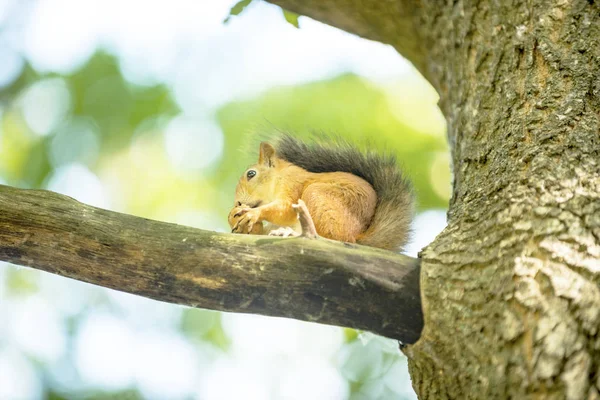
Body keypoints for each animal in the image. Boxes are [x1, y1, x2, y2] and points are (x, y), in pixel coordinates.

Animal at [227, 136, 414, 252]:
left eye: (251, 174)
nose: (238, 203)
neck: (279, 177)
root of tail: (356, 236)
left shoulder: (292, 187)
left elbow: (284, 209)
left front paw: (253, 213)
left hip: (317, 197)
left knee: (329, 237)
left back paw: (291, 233)